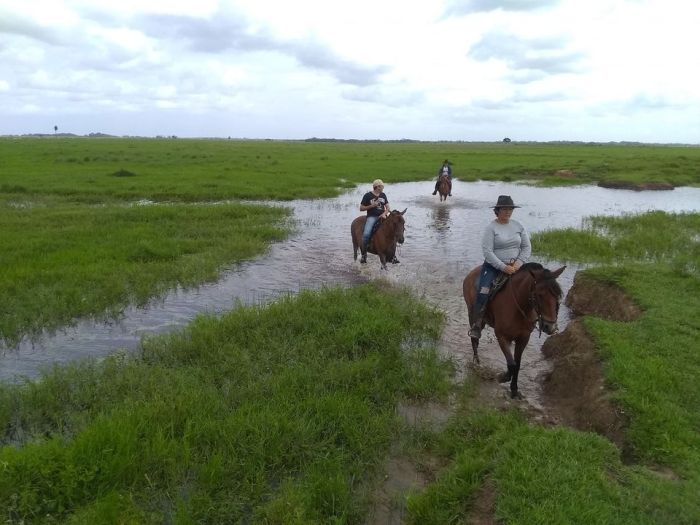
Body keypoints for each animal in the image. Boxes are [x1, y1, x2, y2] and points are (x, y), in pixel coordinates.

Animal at [462, 262, 568, 398]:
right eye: (539, 295)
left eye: (558, 295)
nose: (550, 327)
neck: (518, 306)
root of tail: (471, 273)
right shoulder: (501, 336)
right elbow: (511, 364)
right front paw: (503, 377)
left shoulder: (523, 338)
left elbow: (517, 364)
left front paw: (514, 390)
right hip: (472, 315)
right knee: (474, 339)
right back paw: (477, 363)